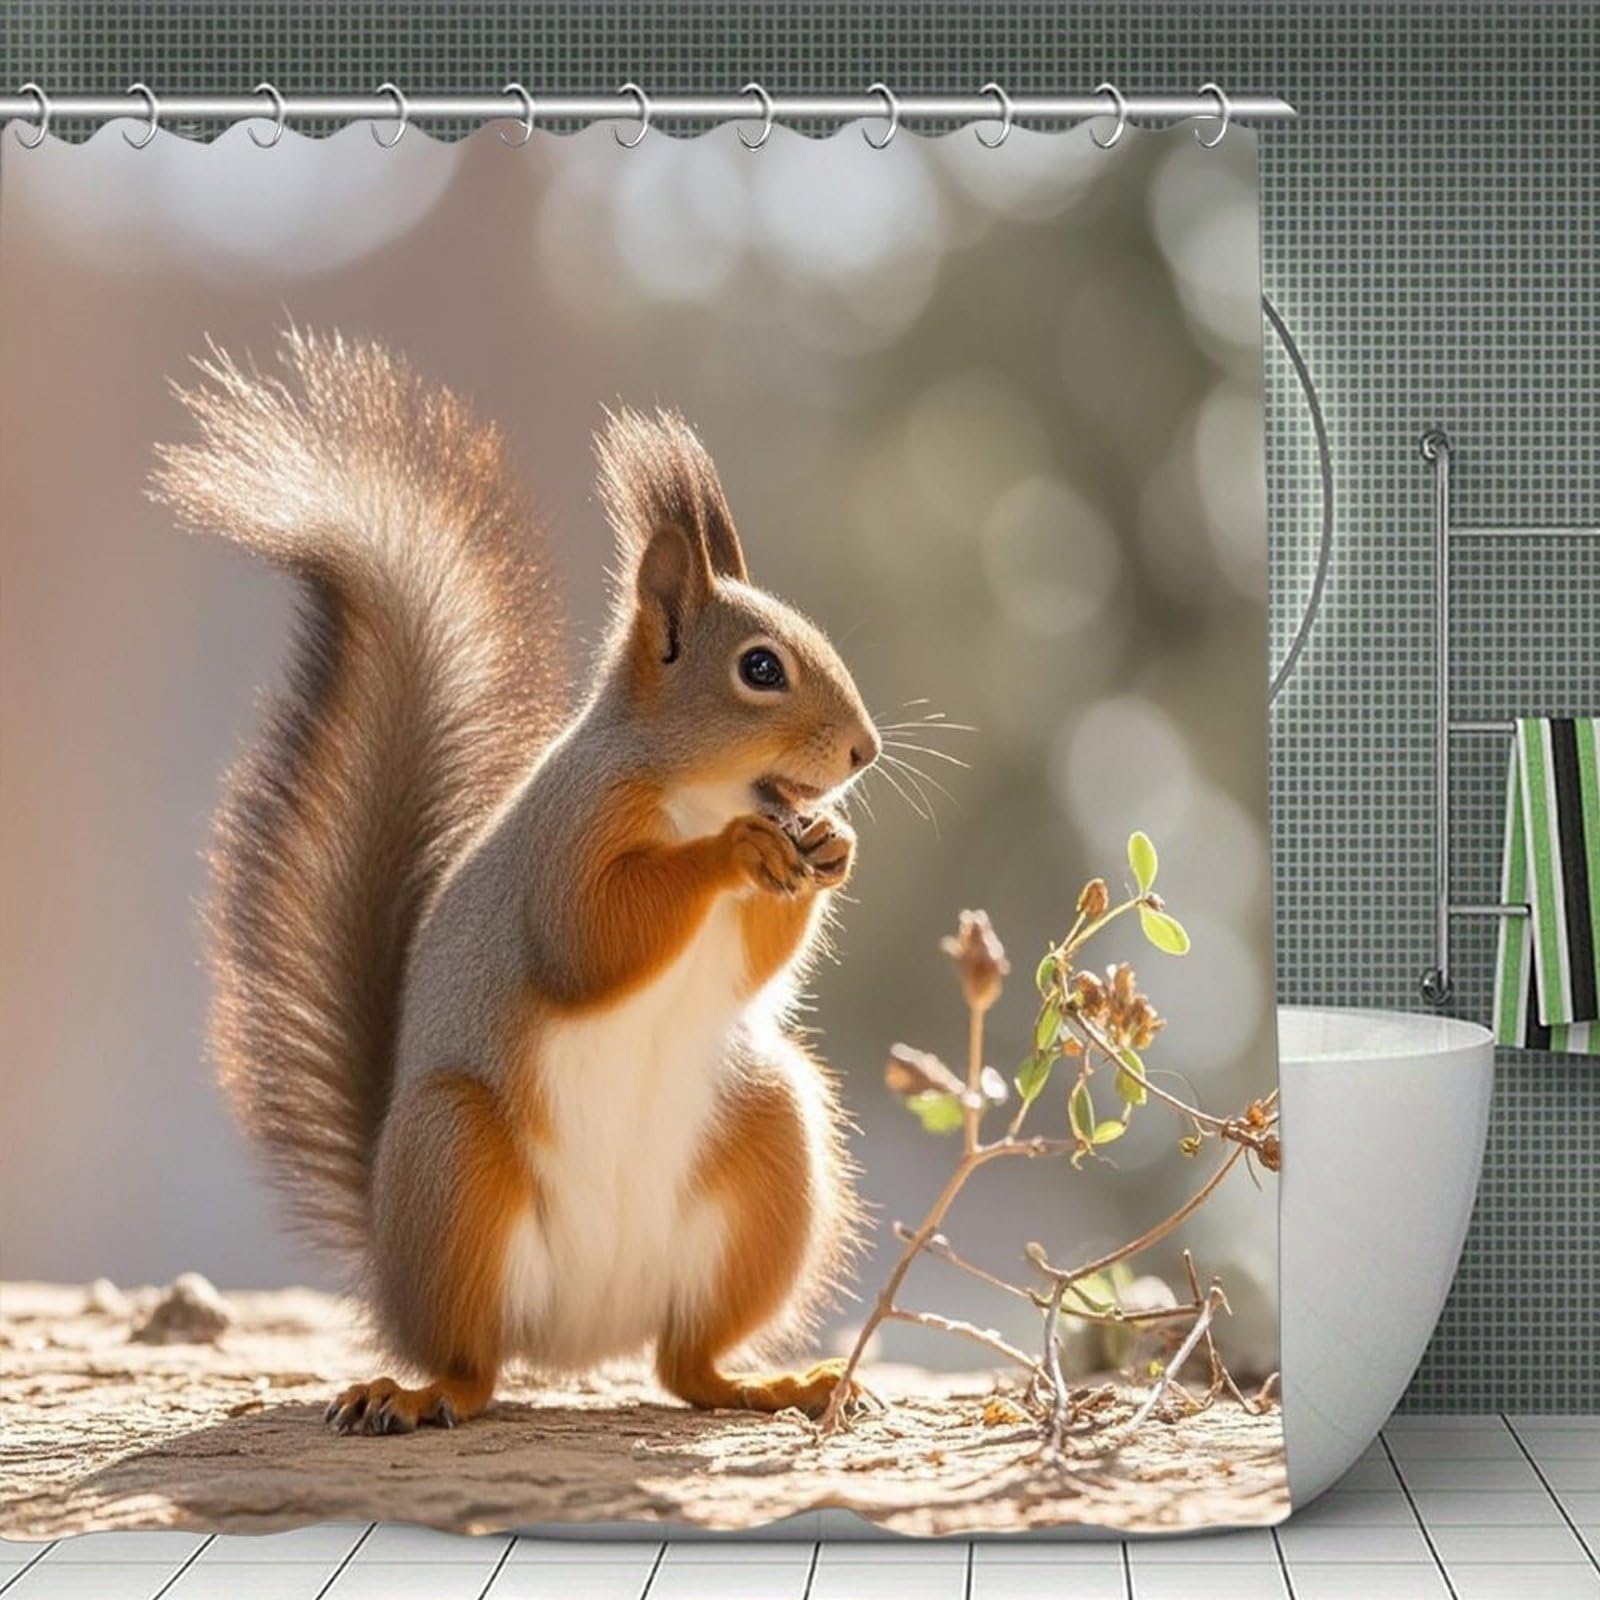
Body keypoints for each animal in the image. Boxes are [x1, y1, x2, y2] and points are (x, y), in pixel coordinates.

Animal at [152, 328, 880, 1435]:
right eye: (761, 668)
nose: (865, 751)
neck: (694, 793)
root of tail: (583, 1337)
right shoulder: (568, 840)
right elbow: (591, 940)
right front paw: (737, 854)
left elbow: (756, 960)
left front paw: (830, 847)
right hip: (457, 1160)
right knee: (475, 1364)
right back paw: (412, 1392)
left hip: (772, 1145)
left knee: (686, 1364)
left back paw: (769, 1382)